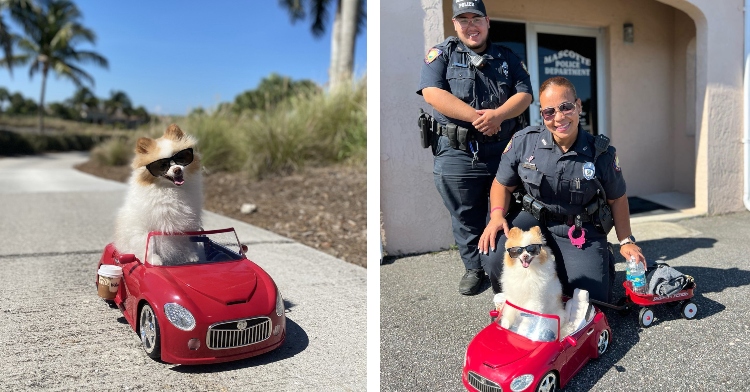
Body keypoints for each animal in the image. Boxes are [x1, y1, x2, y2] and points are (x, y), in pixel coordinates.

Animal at [114, 123, 203, 264]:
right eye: (162, 165)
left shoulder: (185, 224)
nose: (177, 170)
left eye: (181, 158)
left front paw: (190, 255)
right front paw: (154, 260)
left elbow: (186, 241)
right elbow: (149, 244)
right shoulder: (145, 227)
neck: (170, 190)